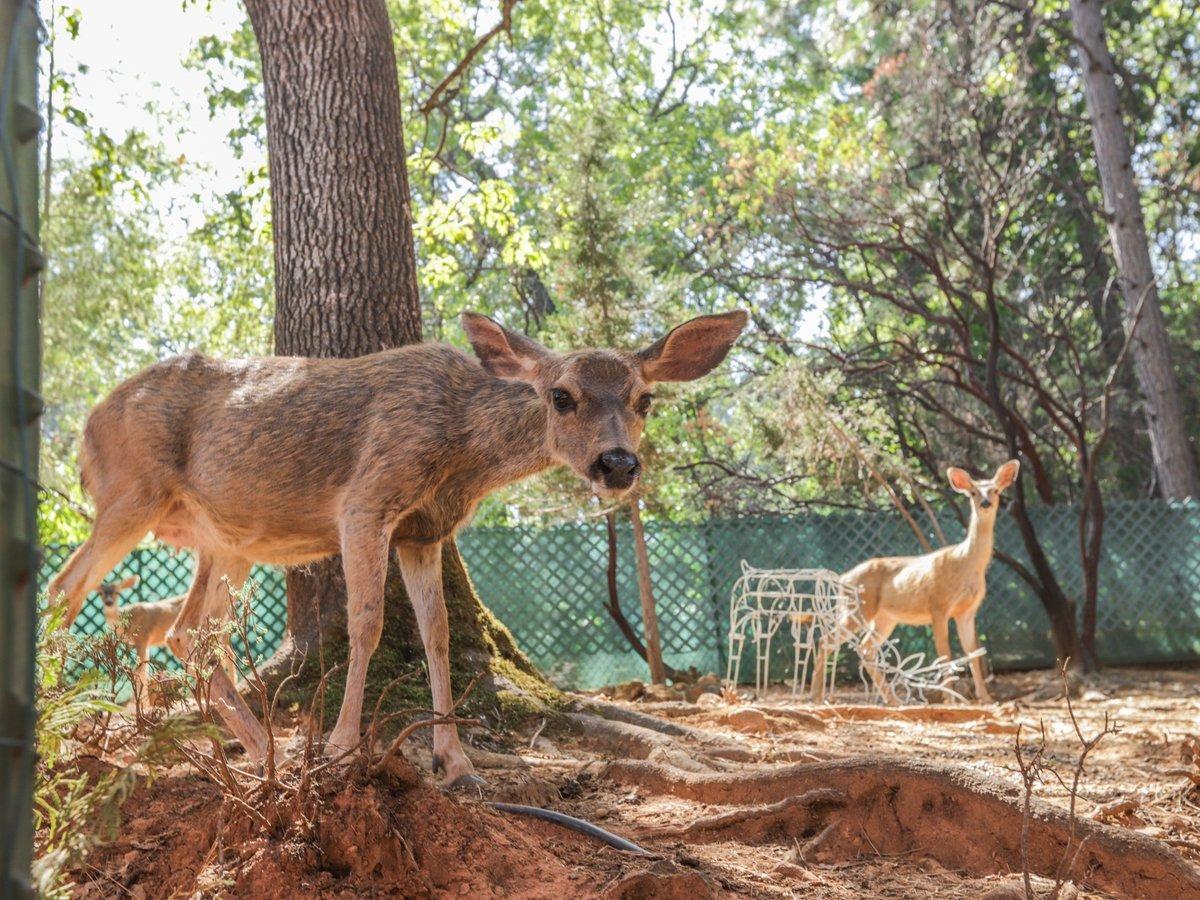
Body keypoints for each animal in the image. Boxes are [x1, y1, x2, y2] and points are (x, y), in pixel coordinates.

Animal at [49, 312, 748, 787]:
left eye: (645, 399)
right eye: (561, 395)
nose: (618, 464)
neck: (462, 445)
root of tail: (85, 427)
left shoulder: (424, 531)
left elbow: (436, 632)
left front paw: (456, 761)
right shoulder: (366, 500)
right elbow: (368, 623)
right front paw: (340, 747)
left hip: (226, 539)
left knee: (189, 630)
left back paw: (266, 750)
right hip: (128, 493)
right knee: (69, 585)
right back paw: (58, 728)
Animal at [811, 460, 1017, 710]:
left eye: (995, 490)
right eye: (973, 492)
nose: (986, 502)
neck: (966, 563)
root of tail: (842, 578)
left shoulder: (967, 611)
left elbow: (973, 653)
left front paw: (986, 698)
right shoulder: (938, 605)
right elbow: (945, 653)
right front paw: (952, 700)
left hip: (885, 617)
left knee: (865, 648)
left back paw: (892, 700)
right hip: (857, 607)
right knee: (827, 640)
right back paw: (816, 696)